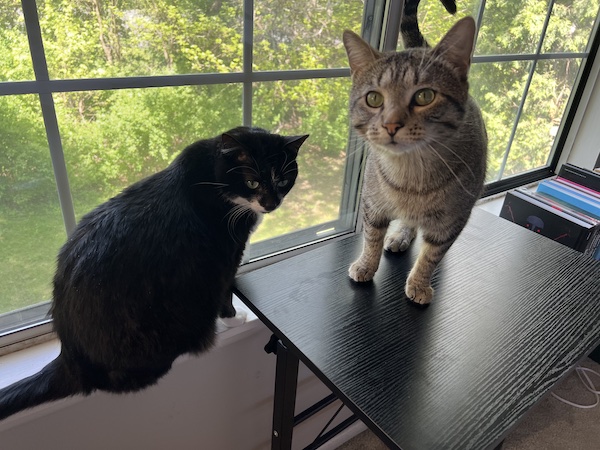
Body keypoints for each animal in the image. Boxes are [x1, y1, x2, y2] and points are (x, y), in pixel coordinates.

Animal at [0, 125, 308, 420]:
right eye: (252, 181)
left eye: (282, 180)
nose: (271, 203)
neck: (213, 176)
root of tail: (72, 359)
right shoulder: (226, 254)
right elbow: (225, 289)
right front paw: (233, 318)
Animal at [342, 0, 488, 304]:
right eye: (373, 98)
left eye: (425, 96)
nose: (391, 124)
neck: (410, 174)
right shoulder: (372, 204)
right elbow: (371, 238)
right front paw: (365, 265)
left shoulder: (452, 221)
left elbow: (431, 256)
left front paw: (419, 284)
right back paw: (400, 235)